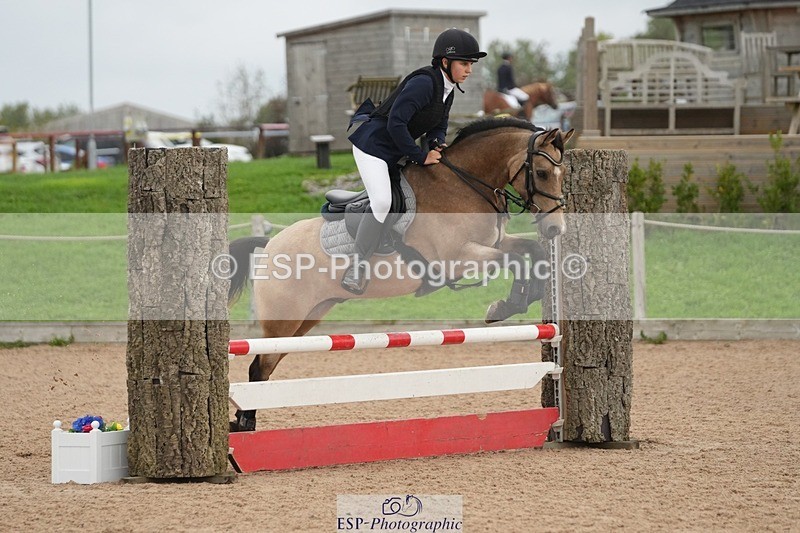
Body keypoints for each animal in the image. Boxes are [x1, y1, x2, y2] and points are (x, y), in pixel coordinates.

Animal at [227, 117, 574, 432]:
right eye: (542, 173)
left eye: (563, 175)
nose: (555, 229)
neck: (464, 186)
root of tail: (269, 244)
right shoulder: (457, 259)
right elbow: (515, 259)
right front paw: (504, 305)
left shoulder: (493, 243)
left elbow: (533, 251)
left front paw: (522, 298)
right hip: (284, 320)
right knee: (258, 367)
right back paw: (244, 424)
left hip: (306, 320)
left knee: (266, 367)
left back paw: (244, 422)